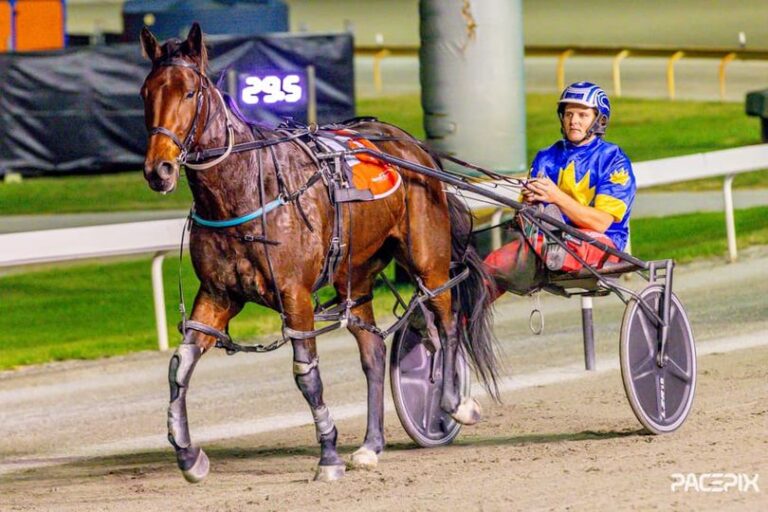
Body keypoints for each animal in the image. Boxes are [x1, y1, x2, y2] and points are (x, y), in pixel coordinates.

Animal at [140, 23, 501, 483]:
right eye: (145, 92)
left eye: (189, 92)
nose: (158, 170)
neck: (246, 189)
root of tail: (413, 146)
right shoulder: (218, 295)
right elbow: (179, 366)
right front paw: (189, 457)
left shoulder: (295, 296)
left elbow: (306, 374)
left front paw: (328, 454)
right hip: (355, 275)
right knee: (374, 352)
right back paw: (370, 445)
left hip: (428, 259)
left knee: (447, 322)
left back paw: (455, 404)